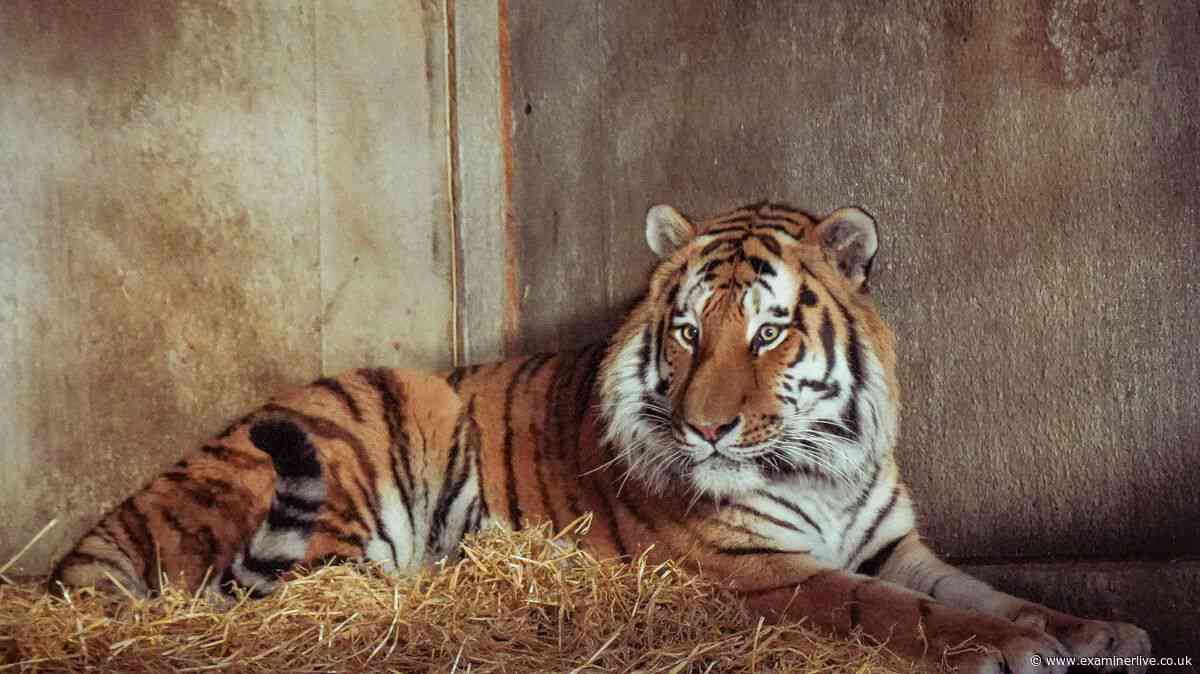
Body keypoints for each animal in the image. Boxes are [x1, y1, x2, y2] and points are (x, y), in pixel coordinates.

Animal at [51, 201, 1151, 673]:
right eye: (687, 330)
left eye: (769, 331)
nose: (708, 428)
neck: (823, 463)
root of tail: (116, 518)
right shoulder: (761, 569)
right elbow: (893, 610)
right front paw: (1012, 651)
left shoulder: (895, 543)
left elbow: (992, 590)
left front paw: (1097, 630)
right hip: (362, 445)